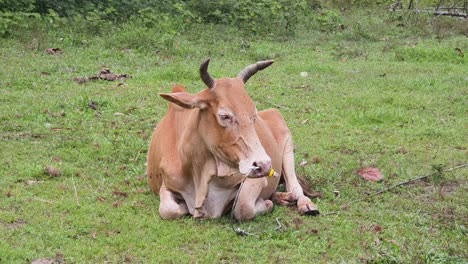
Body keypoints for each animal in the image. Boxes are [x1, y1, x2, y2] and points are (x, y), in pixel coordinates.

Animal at [148, 58, 320, 220]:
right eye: (224, 116)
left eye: (253, 116)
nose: (264, 165)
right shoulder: (166, 184)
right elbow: (168, 210)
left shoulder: (254, 177)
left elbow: (243, 207)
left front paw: (266, 204)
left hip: (286, 144)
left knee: (295, 187)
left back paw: (304, 204)